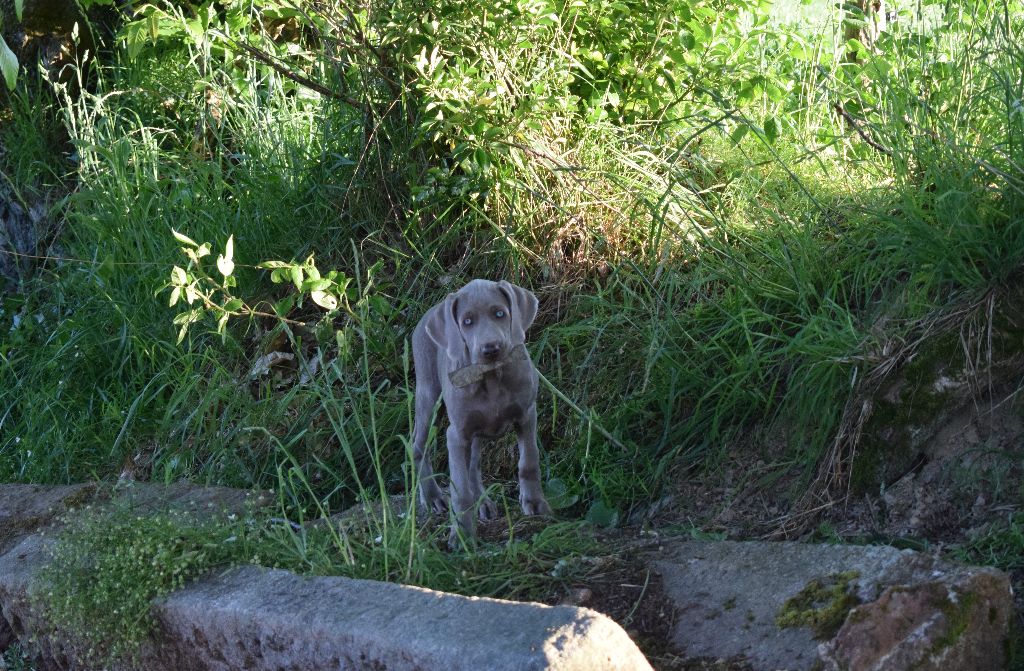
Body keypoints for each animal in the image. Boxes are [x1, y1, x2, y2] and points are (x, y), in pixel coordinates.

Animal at [411, 278, 552, 544]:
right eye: (467, 321)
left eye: (500, 313)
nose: (491, 349)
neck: (492, 378)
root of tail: (426, 314)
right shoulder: (456, 436)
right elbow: (460, 491)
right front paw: (462, 534)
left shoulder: (527, 415)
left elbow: (529, 461)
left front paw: (535, 503)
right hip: (428, 395)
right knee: (418, 446)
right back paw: (432, 496)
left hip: (476, 430)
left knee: (474, 465)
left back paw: (483, 502)